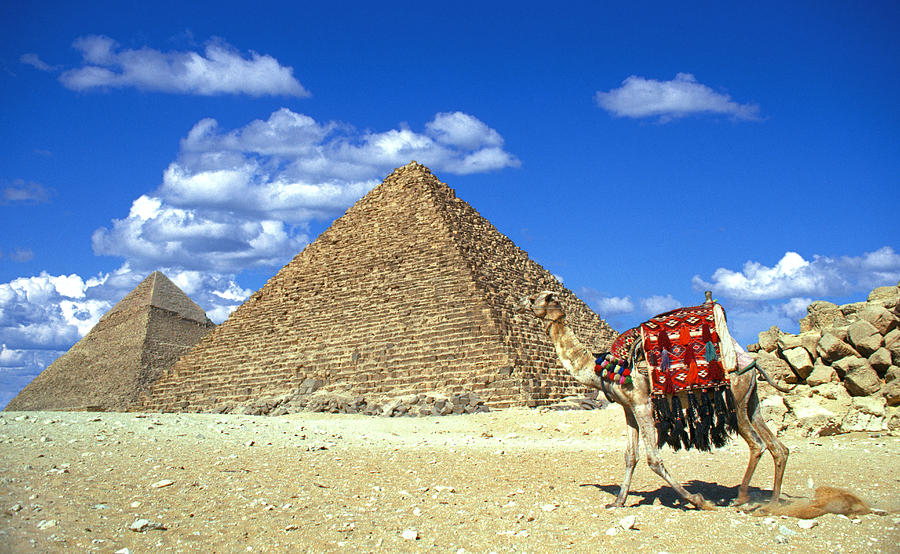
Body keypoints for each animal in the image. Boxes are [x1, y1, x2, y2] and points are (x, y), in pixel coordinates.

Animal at [516, 288, 792, 508]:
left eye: (534, 297)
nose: (518, 303)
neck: (599, 368)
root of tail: (749, 362)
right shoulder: (628, 408)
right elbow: (630, 456)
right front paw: (618, 502)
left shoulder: (642, 403)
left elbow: (653, 459)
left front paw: (698, 500)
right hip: (751, 399)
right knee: (778, 447)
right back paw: (773, 501)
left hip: (734, 398)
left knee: (757, 444)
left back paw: (742, 498)